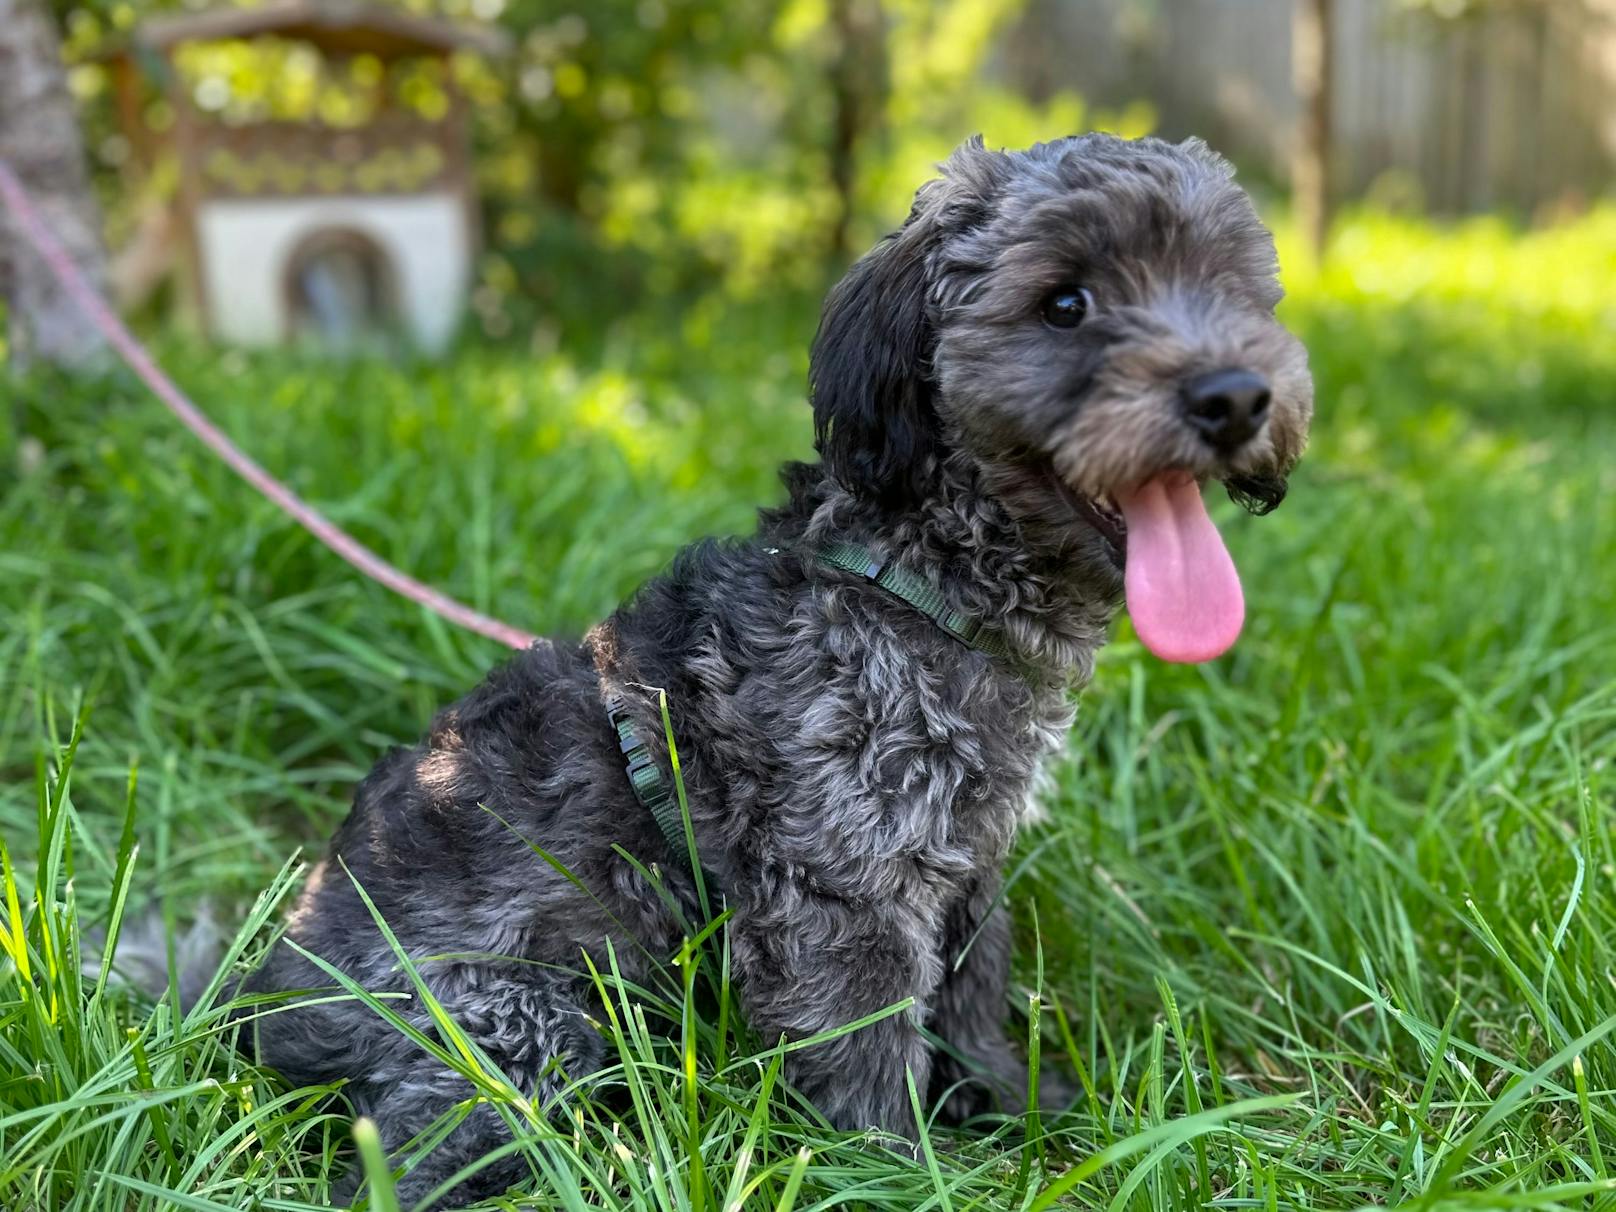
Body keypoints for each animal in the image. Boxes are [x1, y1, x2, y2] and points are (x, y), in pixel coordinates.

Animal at [248, 132, 1312, 1208]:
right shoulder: (841, 889)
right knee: (408, 1160)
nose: (1234, 397)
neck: (911, 584)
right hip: (524, 1030)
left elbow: (972, 998)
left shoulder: (968, 865)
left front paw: (1012, 1109)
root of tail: (263, 1002)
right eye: (1064, 303)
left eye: (1227, 286)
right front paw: (904, 1175)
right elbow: (868, 1056)